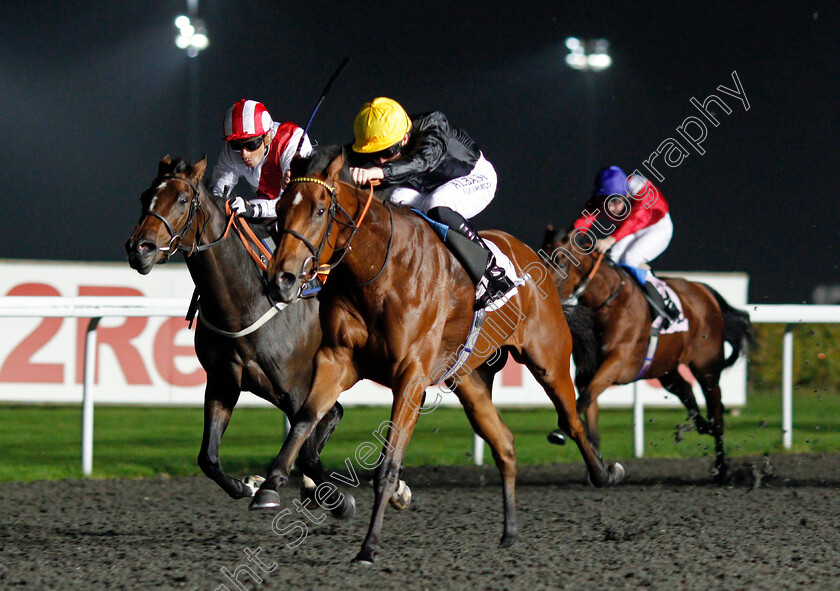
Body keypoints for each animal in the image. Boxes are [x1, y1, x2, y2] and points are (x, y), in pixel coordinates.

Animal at [124, 156, 354, 520]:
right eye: (145, 195)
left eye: (182, 200)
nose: (139, 249)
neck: (243, 301)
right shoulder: (223, 382)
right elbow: (208, 458)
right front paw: (249, 485)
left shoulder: (296, 388)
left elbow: (307, 449)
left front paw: (338, 499)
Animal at [260, 147, 628, 564]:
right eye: (281, 207)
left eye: (320, 210)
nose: (281, 279)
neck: (377, 268)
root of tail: (535, 260)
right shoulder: (337, 360)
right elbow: (306, 417)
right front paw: (269, 485)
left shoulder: (410, 377)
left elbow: (387, 466)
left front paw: (369, 545)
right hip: (469, 380)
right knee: (505, 444)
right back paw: (510, 532)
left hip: (549, 359)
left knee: (571, 419)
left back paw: (605, 473)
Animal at [540, 227, 756, 480]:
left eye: (561, 262)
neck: (609, 302)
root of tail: (704, 290)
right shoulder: (587, 373)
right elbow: (589, 412)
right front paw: (598, 469)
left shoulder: (616, 363)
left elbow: (583, 400)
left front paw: (560, 433)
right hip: (666, 369)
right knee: (688, 393)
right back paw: (702, 427)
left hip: (707, 367)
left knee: (716, 410)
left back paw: (721, 468)